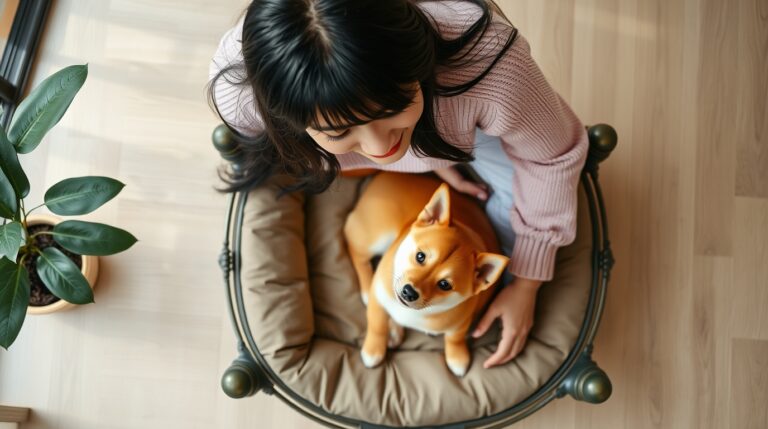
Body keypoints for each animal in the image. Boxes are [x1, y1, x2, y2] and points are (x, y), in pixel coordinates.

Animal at [344, 171, 510, 374]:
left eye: (444, 284)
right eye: (420, 256)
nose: (409, 292)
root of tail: (389, 174)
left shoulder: (461, 323)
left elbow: (454, 338)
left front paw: (457, 357)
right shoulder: (379, 297)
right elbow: (377, 325)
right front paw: (373, 350)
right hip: (378, 235)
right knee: (356, 251)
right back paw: (368, 289)